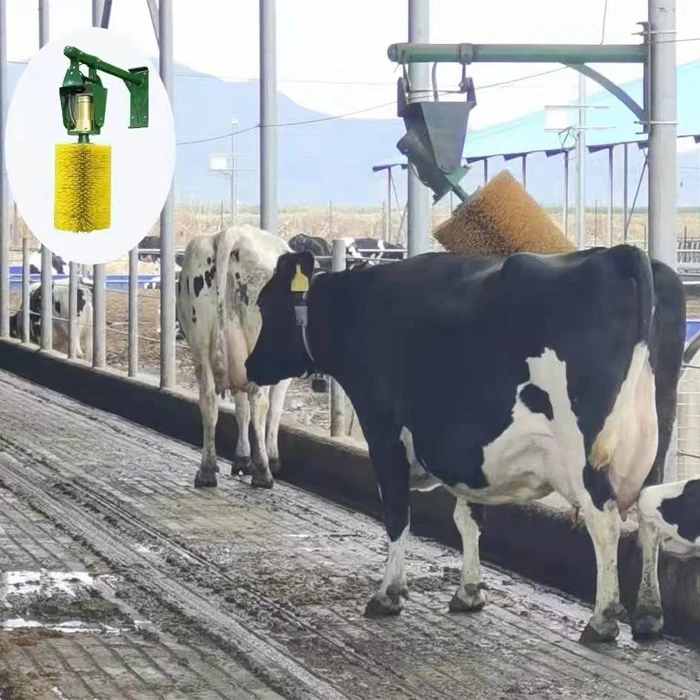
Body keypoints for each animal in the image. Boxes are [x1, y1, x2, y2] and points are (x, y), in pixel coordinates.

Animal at [177, 224, 293, 490]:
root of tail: (232, 233)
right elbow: (274, 409)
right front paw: (271, 459)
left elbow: (241, 408)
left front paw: (241, 459)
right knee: (260, 402)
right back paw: (263, 473)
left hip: (200, 343)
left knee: (208, 401)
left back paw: (207, 471)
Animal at [244, 243, 694, 644]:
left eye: (267, 305)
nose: (250, 366)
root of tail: (621, 253)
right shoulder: (467, 448)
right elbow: (468, 518)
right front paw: (469, 591)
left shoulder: (384, 431)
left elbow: (396, 513)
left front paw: (388, 593)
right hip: (660, 431)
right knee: (649, 514)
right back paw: (649, 615)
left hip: (585, 449)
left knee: (605, 522)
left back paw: (602, 620)